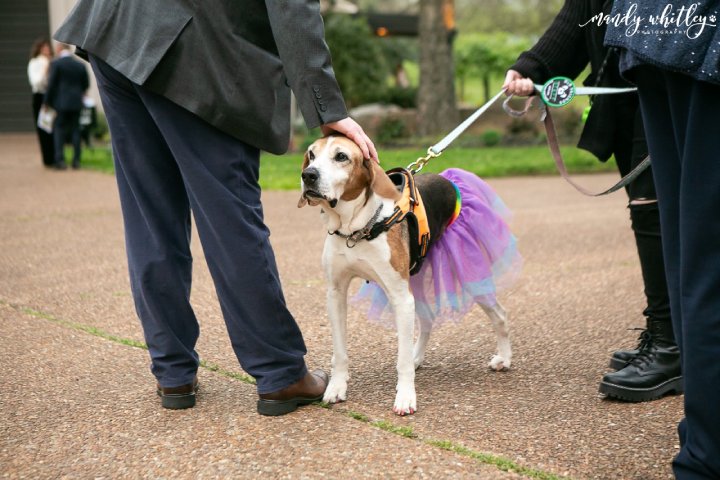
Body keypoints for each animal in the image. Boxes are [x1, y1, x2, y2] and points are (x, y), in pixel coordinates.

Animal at [298, 135, 512, 416]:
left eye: (341, 156)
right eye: (311, 155)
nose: (308, 175)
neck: (355, 229)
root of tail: (447, 178)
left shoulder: (400, 297)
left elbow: (402, 362)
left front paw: (406, 397)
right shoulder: (335, 294)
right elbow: (340, 352)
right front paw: (336, 387)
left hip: (466, 278)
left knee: (500, 316)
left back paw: (504, 358)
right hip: (416, 284)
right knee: (428, 319)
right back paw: (417, 356)